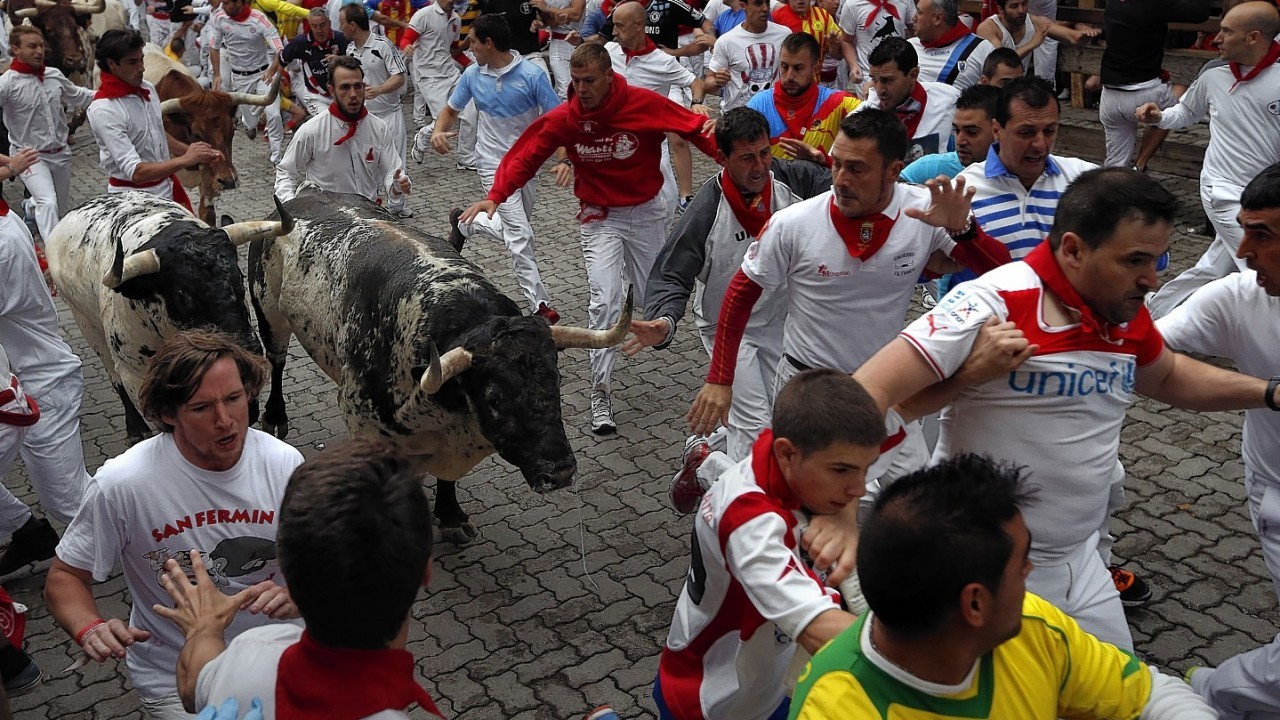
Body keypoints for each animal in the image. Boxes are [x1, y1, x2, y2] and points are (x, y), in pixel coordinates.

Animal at [46, 190, 293, 440]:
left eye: (239, 276)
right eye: (182, 294)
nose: (246, 347)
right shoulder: (135, 375)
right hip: (88, 325)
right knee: (112, 374)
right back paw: (135, 428)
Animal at [245, 188, 629, 540]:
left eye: (555, 381)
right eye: (494, 398)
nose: (560, 472)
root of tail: (299, 198)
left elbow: (447, 479)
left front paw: (451, 515)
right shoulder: (362, 420)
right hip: (269, 313)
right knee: (275, 362)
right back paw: (273, 416)